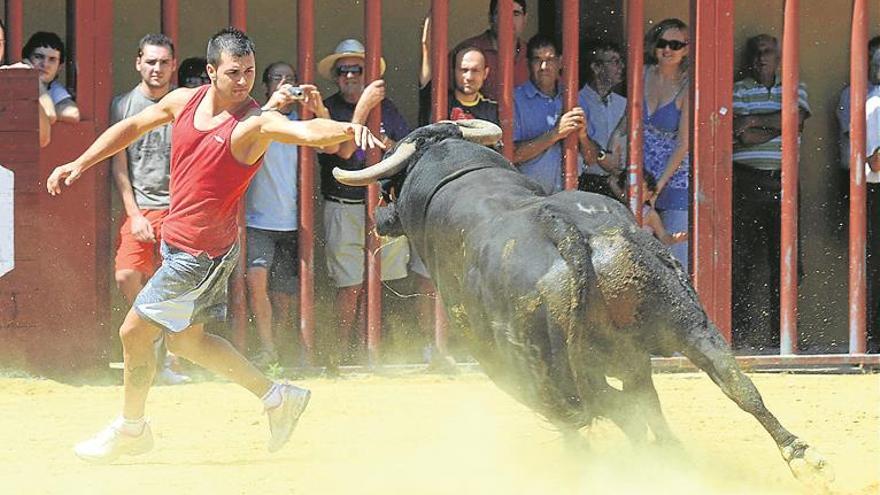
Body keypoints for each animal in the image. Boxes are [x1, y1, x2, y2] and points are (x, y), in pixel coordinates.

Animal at [332, 121, 832, 488]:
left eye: (390, 187)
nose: (379, 215)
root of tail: (565, 230)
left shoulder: (507, 367)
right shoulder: (635, 360)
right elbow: (650, 403)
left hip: (547, 368)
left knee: (609, 410)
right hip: (689, 321)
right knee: (733, 383)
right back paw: (797, 456)